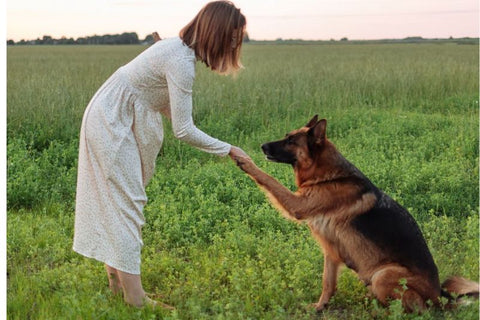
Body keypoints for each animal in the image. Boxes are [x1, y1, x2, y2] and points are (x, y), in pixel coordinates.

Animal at [234, 115, 478, 312]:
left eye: (292, 141)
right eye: (287, 136)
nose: (262, 146)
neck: (327, 176)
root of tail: (440, 298)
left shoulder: (297, 205)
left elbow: (268, 179)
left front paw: (245, 161)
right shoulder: (331, 252)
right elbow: (327, 283)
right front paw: (320, 307)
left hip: (383, 275)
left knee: (409, 309)